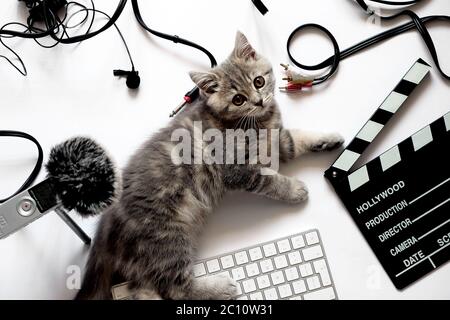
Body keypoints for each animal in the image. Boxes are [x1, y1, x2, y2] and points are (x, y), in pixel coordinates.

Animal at [75, 31, 344, 298]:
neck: (256, 122)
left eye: (258, 82)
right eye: (238, 99)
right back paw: (219, 287)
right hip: (166, 236)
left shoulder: (277, 142)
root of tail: (107, 220)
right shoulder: (235, 170)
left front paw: (327, 139)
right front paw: (294, 189)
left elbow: (296, 139)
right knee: (174, 287)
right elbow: (268, 179)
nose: (258, 101)